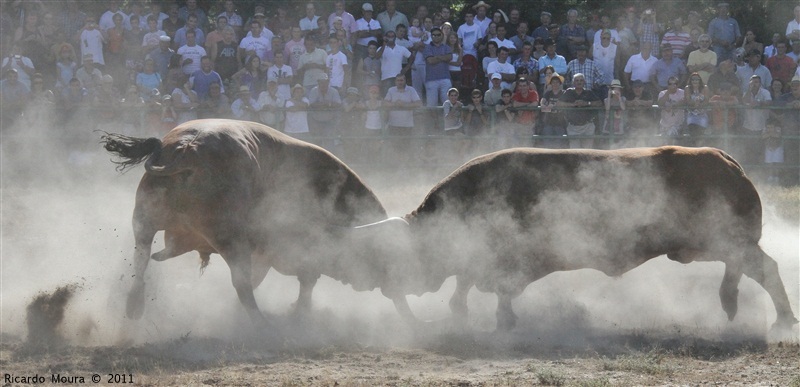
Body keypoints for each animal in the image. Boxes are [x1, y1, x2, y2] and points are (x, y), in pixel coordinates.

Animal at [103, 119, 400, 324]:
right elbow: (305, 283)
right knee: (242, 284)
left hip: (144, 220)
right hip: (231, 240)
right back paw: (261, 324)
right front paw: (300, 312)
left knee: (141, 259)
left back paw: (134, 304)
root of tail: (187, 150)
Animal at [376, 147, 800, 332]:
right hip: (703, 248)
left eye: (408, 255)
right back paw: (738, 308)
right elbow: (466, 285)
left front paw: (503, 319)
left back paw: (781, 319)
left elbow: (492, 289)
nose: (394, 289)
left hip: (720, 242)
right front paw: (466, 313)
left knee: (762, 268)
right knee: (746, 268)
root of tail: (727, 161)